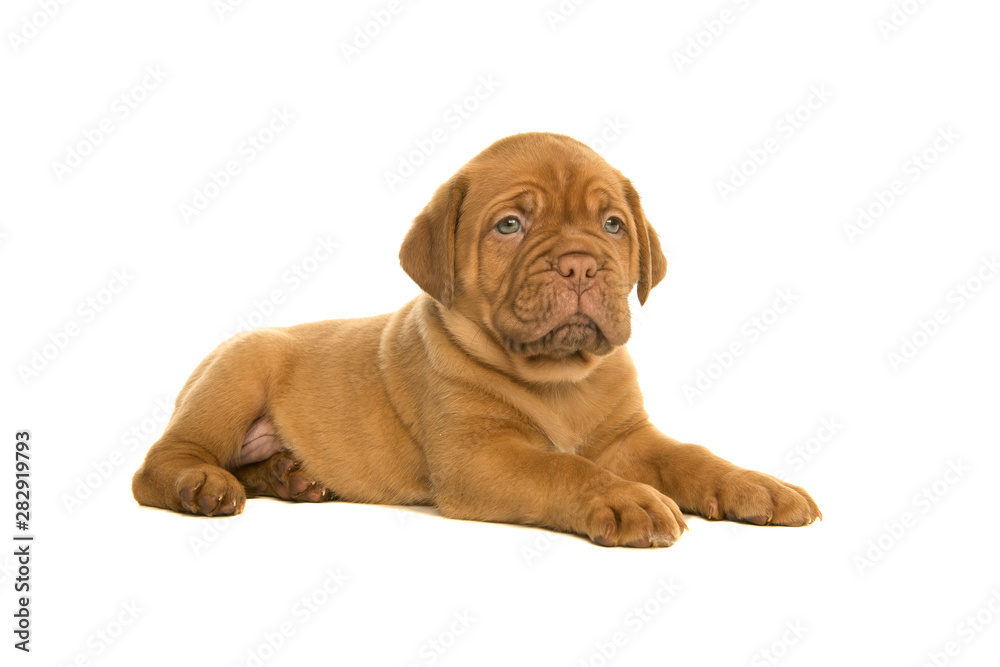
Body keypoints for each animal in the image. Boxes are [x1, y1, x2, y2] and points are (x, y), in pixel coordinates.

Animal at [133, 132, 820, 548]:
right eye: (510, 225)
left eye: (612, 225)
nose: (579, 264)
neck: (562, 379)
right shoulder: (480, 456)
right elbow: (564, 468)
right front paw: (627, 499)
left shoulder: (629, 437)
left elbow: (691, 456)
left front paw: (756, 484)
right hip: (239, 369)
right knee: (160, 464)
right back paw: (202, 486)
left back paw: (288, 476)